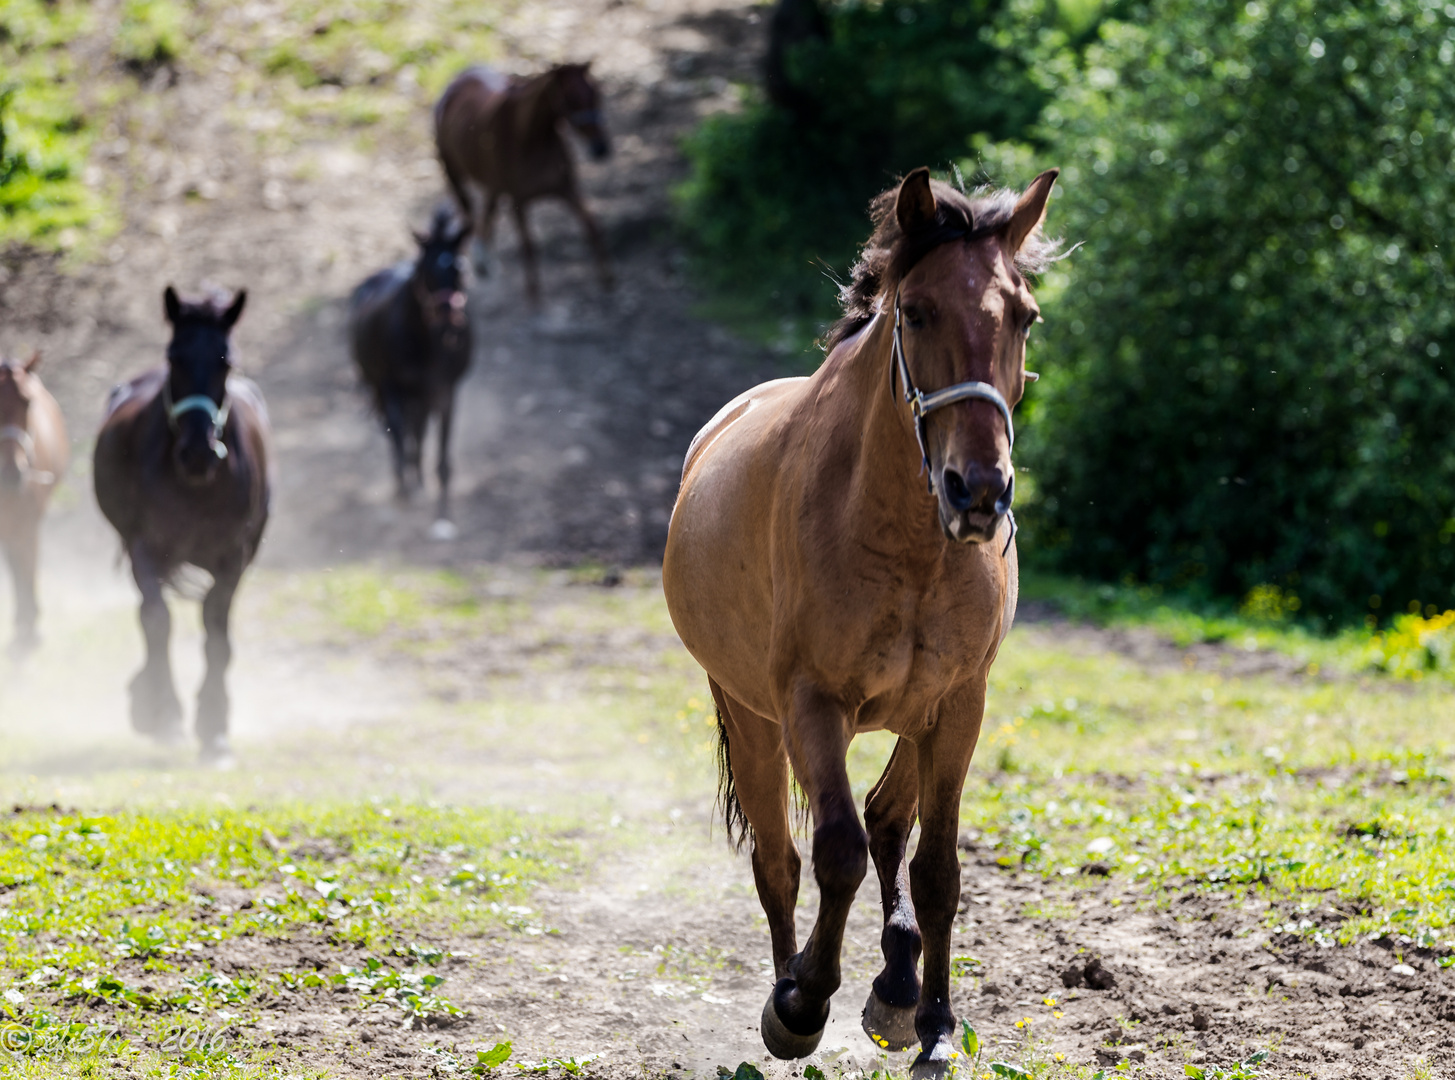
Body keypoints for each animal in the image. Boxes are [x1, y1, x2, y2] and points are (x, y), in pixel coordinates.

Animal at [93, 283, 273, 768]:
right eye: (173, 357)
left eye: (226, 360)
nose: (197, 452)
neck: (197, 485)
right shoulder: (145, 546)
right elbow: (157, 620)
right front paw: (165, 715)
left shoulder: (234, 557)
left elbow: (216, 629)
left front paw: (214, 729)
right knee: (148, 612)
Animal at [346, 206, 471, 538]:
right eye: (427, 270)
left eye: (461, 269)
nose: (448, 321)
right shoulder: (389, 383)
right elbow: (399, 434)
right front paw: (404, 492)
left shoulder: (445, 390)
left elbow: (440, 456)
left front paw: (443, 511)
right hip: (383, 386)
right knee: (403, 433)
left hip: (422, 396)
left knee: (419, 432)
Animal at [430, 61, 614, 302]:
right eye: (569, 99)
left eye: (596, 92)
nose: (600, 147)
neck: (530, 137)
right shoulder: (519, 201)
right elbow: (528, 245)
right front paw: (534, 295)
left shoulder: (567, 189)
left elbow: (591, 225)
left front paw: (607, 277)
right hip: (454, 173)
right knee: (469, 212)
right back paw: (479, 259)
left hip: (493, 183)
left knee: (488, 210)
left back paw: (486, 260)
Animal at [660, 167, 1059, 1077]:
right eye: (915, 311)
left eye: (1023, 316)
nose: (978, 491)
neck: (903, 540)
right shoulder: (811, 704)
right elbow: (832, 850)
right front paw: (803, 1002)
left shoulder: (959, 703)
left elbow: (935, 865)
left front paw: (936, 1025)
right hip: (751, 713)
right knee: (781, 857)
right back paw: (792, 987)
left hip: (915, 714)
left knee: (884, 818)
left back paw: (898, 989)